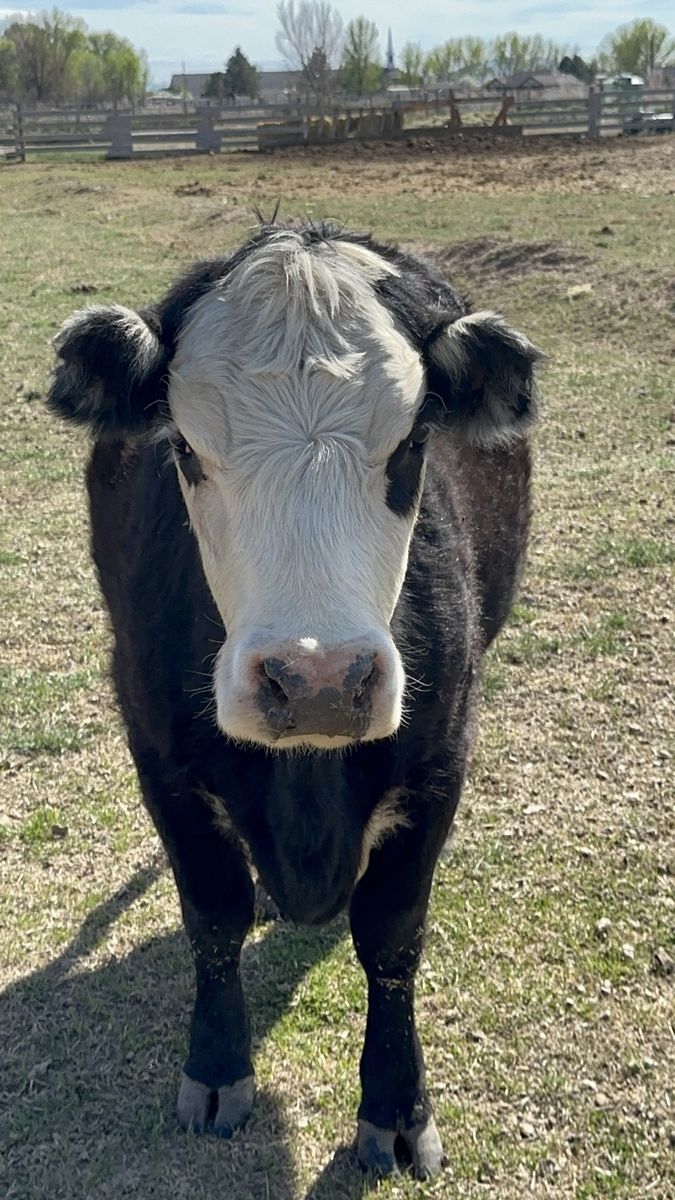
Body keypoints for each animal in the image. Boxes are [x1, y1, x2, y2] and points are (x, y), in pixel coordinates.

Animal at [47, 221, 543, 1180]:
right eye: (185, 448)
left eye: (413, 445)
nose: (316, 683)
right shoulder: (157, 755)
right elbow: (212, 916)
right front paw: (215, 1069)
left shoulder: (443, 756)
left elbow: (390, 935)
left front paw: (394, 1109)